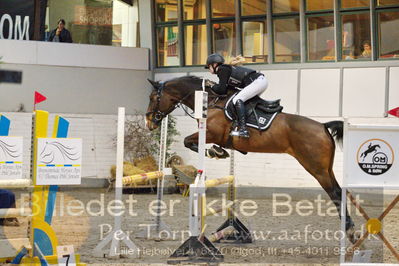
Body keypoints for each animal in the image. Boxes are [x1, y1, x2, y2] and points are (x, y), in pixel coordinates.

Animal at [146, 75, 356, 243]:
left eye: (153, 98)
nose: (149, 123)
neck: (211, 102)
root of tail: (322, 126)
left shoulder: (211, 133)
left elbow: (188, 141)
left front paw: (214, 152)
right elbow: (197, 143)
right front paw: (219, 151)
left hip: (316, 168)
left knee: (335, 193)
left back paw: (350, 231)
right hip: (326, 168)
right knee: (339, 191)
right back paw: (350, 230)